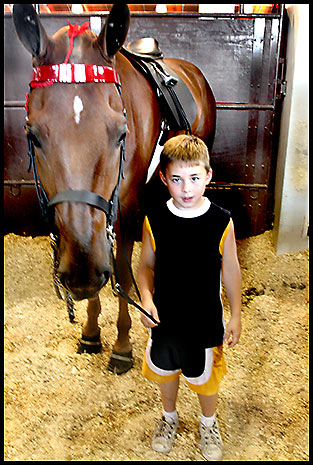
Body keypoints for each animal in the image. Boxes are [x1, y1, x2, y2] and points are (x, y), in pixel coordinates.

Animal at [12, 3, 216, 374]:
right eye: (32, 135)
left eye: (121, 133)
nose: (80, 272)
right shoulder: (93, 227)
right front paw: (92, 333)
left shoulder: (125, 209)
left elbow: (120, 268)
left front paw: (122, 346)